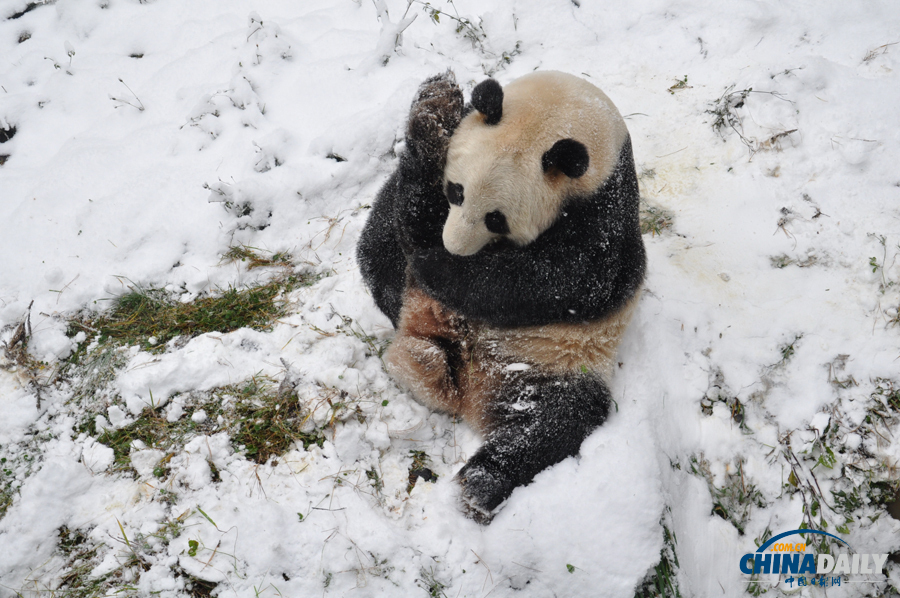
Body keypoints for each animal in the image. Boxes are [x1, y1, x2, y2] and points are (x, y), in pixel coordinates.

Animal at [356, 70, 644, 524]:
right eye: (455, 191)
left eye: (497, 219)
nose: (454, 248)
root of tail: (468, 395)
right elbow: (409, 211)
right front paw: (433, 109)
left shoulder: (606, 214)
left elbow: (562, 280)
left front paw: (437, 266)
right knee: (380, 255)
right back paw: (423, 360)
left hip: (555, 365)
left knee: (555, 420)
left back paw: (479, 486)